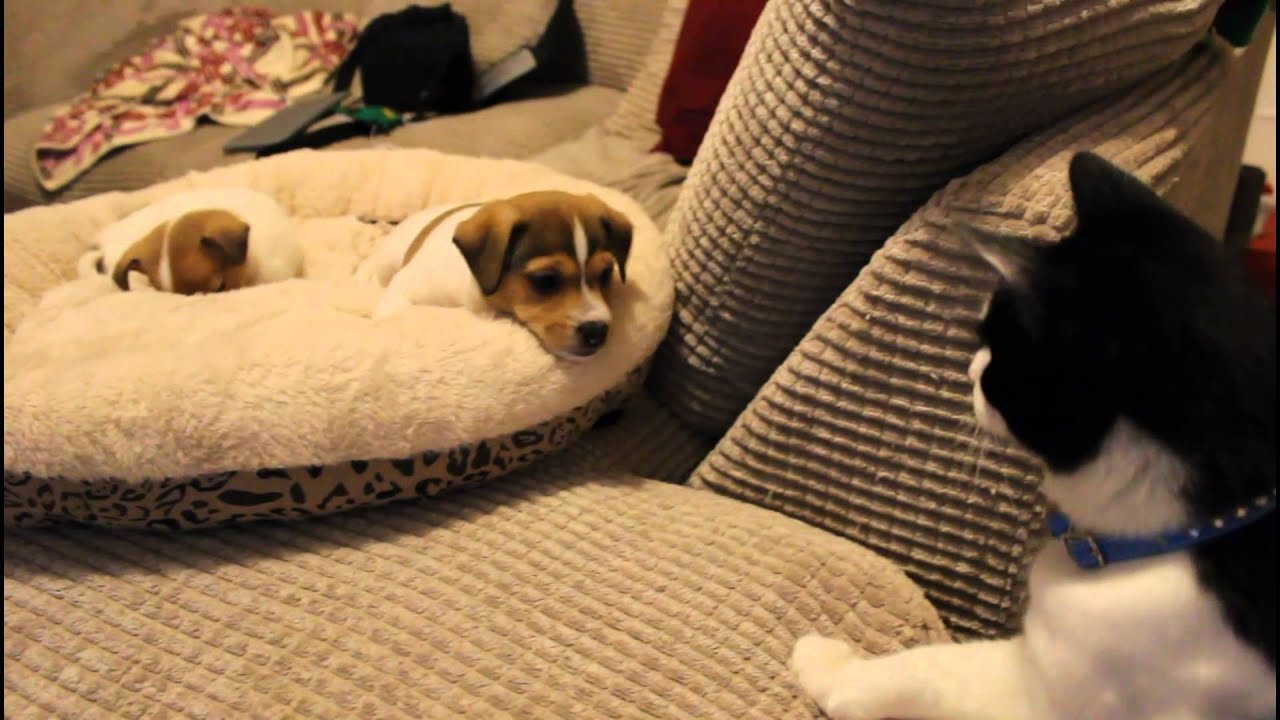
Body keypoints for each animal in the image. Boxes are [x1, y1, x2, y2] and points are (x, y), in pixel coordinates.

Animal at [355, 189, 634, 361]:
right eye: (546, 280)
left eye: (606, 273)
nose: (597, 332)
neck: (478, 295)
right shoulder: (405, 286)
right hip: (387, 262)